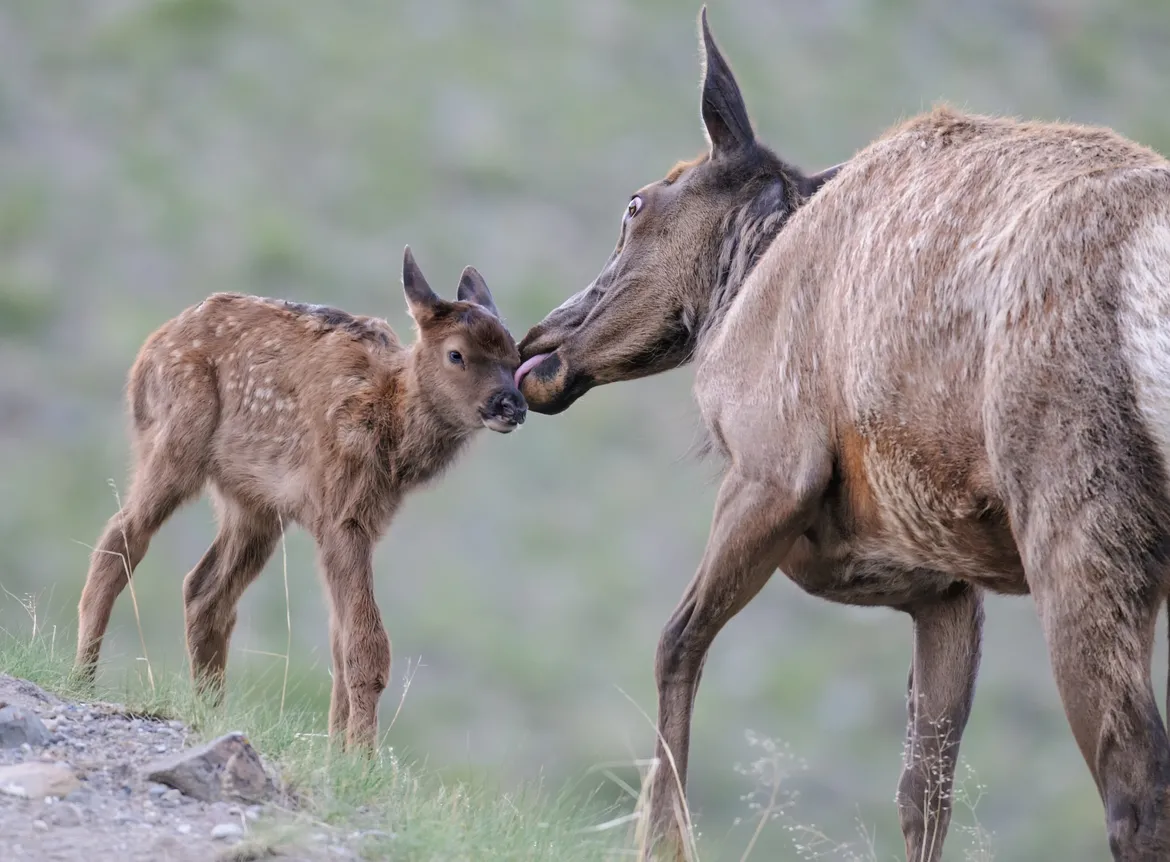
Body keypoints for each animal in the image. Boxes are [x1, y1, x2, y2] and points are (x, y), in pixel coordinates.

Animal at [72, 247, 527, 750]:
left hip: (253, 505)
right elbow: (366, 646)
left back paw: (209, 709)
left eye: (515, 354)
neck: (390, 424)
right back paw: (83, 679)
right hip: (174, 442)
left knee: (204, 590)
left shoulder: (362, 520)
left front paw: (337, 751)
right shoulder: (341, 515)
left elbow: (341, 642)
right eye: (456, 354)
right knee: (121, 538)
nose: (512, 404)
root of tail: (148, 351)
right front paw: (361, 757)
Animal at [515, 7, 1170, 861]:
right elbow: (925, 787)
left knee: (1135, 787)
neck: (742, 284)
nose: (536, 342)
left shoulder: (772, 470)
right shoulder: (944, 584)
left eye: (636, 203)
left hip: (1081, 516)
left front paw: (662, 841)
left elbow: (675, 642)